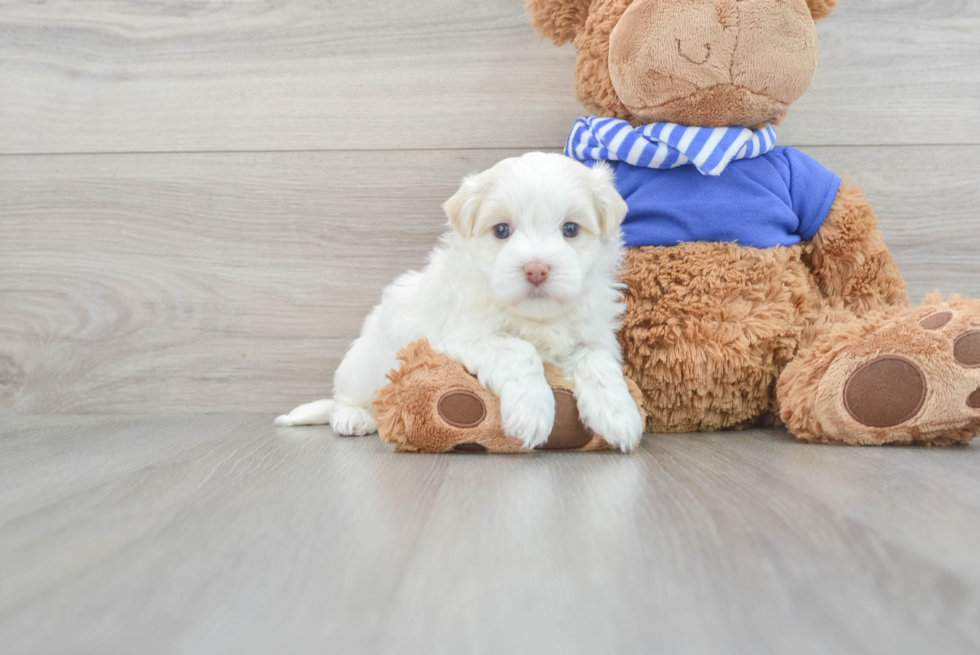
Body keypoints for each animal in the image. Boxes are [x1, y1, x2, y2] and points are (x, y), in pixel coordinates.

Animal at [276, 152, 644, 454]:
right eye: (501, 230)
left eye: (570, 229)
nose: (536, 268)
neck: (533, 318)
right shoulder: (460, 336)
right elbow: (519, 350)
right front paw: (531, 411)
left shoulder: (593, 335)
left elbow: (598, 362)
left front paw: (619, 414)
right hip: (362, 363)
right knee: (346, 396)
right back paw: (352, 417)